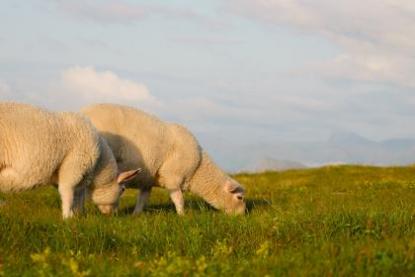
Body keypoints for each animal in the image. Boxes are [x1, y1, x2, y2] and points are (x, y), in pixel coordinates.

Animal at [0, 101, 141, 218]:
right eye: (123, 190)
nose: (115, 215)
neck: (99, 165)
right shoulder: (74, 165)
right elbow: (67, 192)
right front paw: (68, 217)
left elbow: (77, 195)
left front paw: (78, 215)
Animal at [80, 103, 247, 213]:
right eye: (240, 198)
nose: (243, 215)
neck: (197, 170)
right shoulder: (173, 177)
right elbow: (179, 199)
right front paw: (182, 216)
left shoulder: (147, 180)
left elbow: (142, 200)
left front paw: (135, 216)